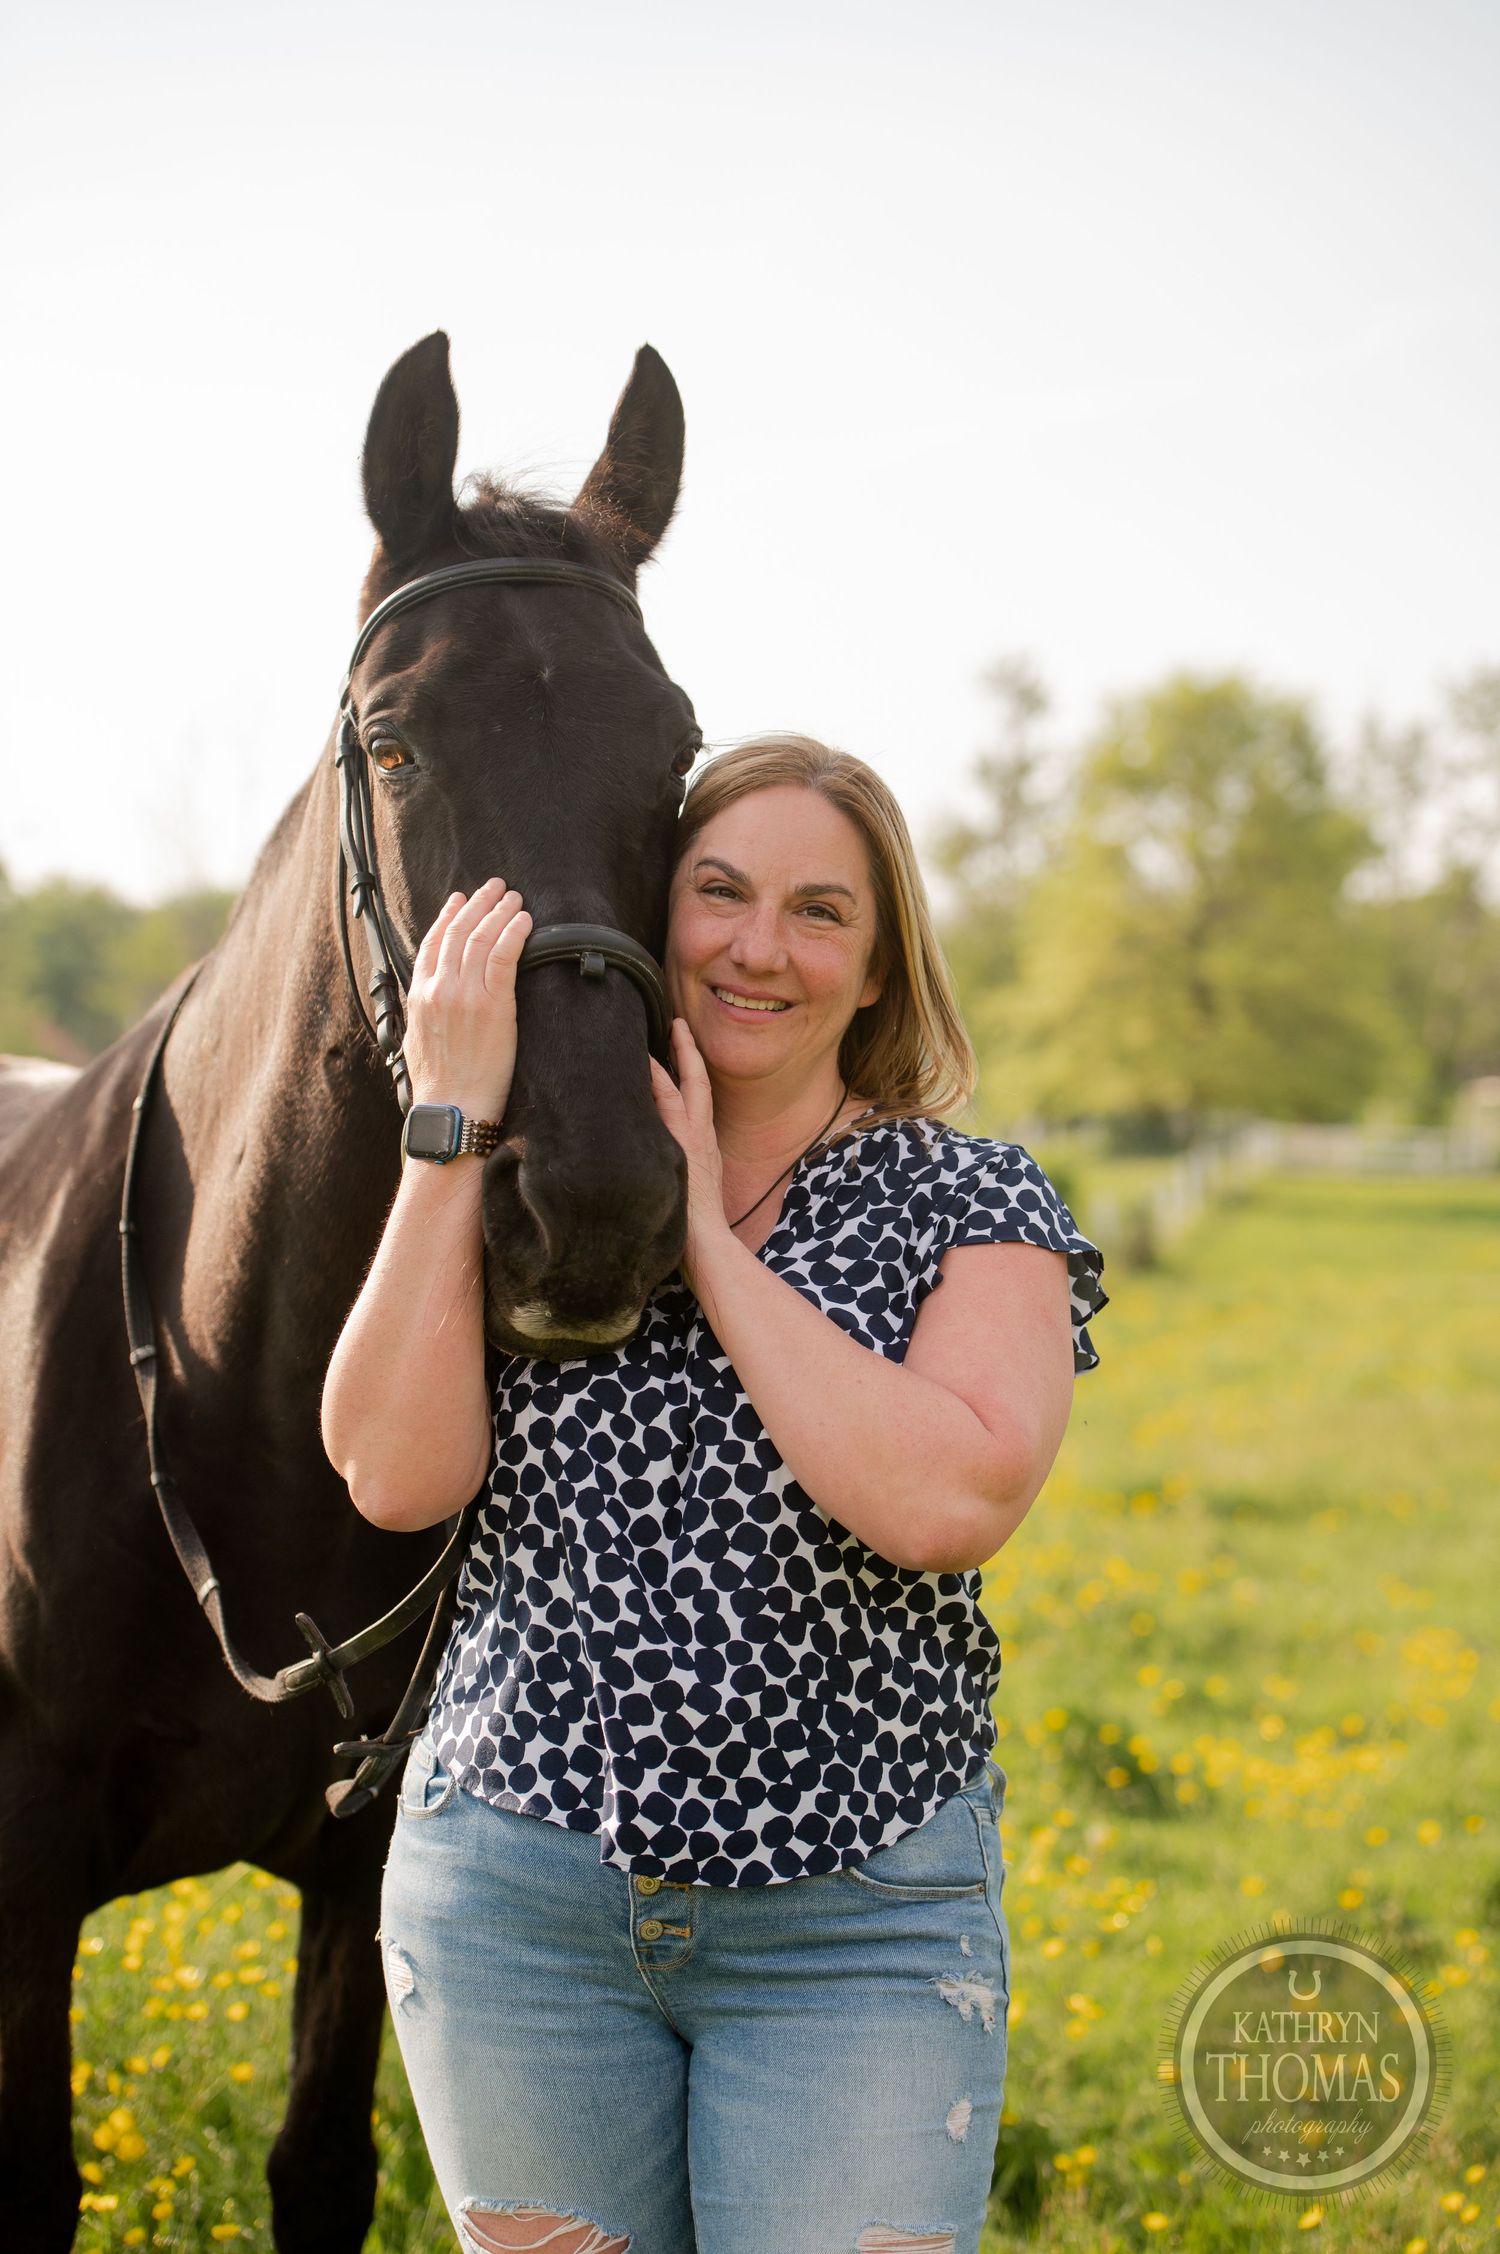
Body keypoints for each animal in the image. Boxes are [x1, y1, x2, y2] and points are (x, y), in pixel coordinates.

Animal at [0, 330, 699, 2252]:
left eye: (681, 746)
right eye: (396, 738)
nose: (594, 1203)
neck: (240, 1392)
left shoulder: (359, 1866)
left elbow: (322, 2166)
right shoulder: (22, 1869)